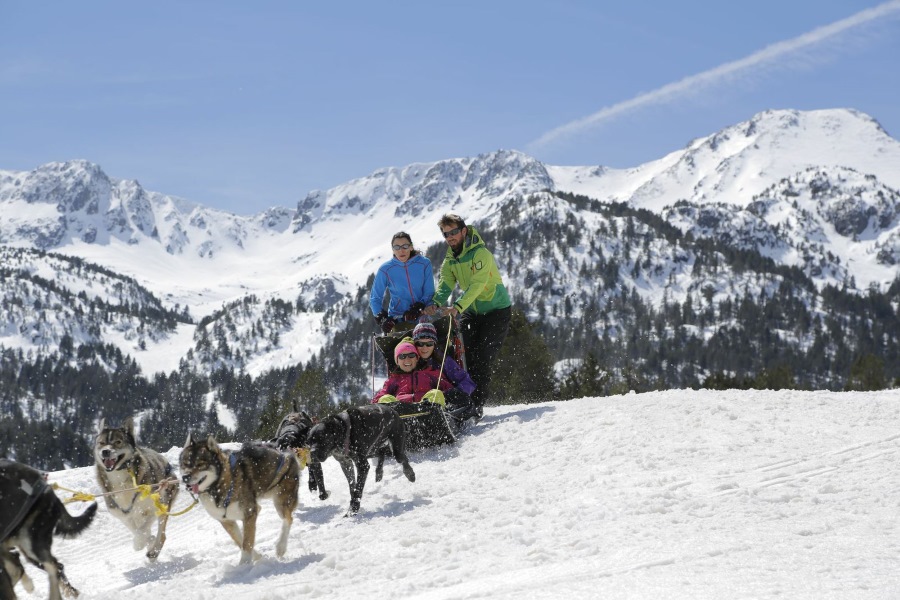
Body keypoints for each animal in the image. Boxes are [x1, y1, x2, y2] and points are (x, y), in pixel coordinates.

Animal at [95, 420, 179, 560]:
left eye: (118, 442)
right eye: (101, 443)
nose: (105, 451)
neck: (121, 480)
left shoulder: (152, 507)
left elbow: (141, 531)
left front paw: (139, 543)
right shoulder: (123, 514)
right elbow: (136, 530)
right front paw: (146, 541)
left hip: (164, 499)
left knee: (161, 534)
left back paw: (154, 551)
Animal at [181, 434, 300, 564]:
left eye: (200, 464)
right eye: (184, 464)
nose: (185, 477)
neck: (218, 485)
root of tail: (284, 452)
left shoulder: (249, 513)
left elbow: (247, 542)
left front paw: (244, 564)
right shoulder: (227, 521)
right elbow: (241, 540)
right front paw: (256, 557)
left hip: (280, 501)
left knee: (288, 519)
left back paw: (280, 547)